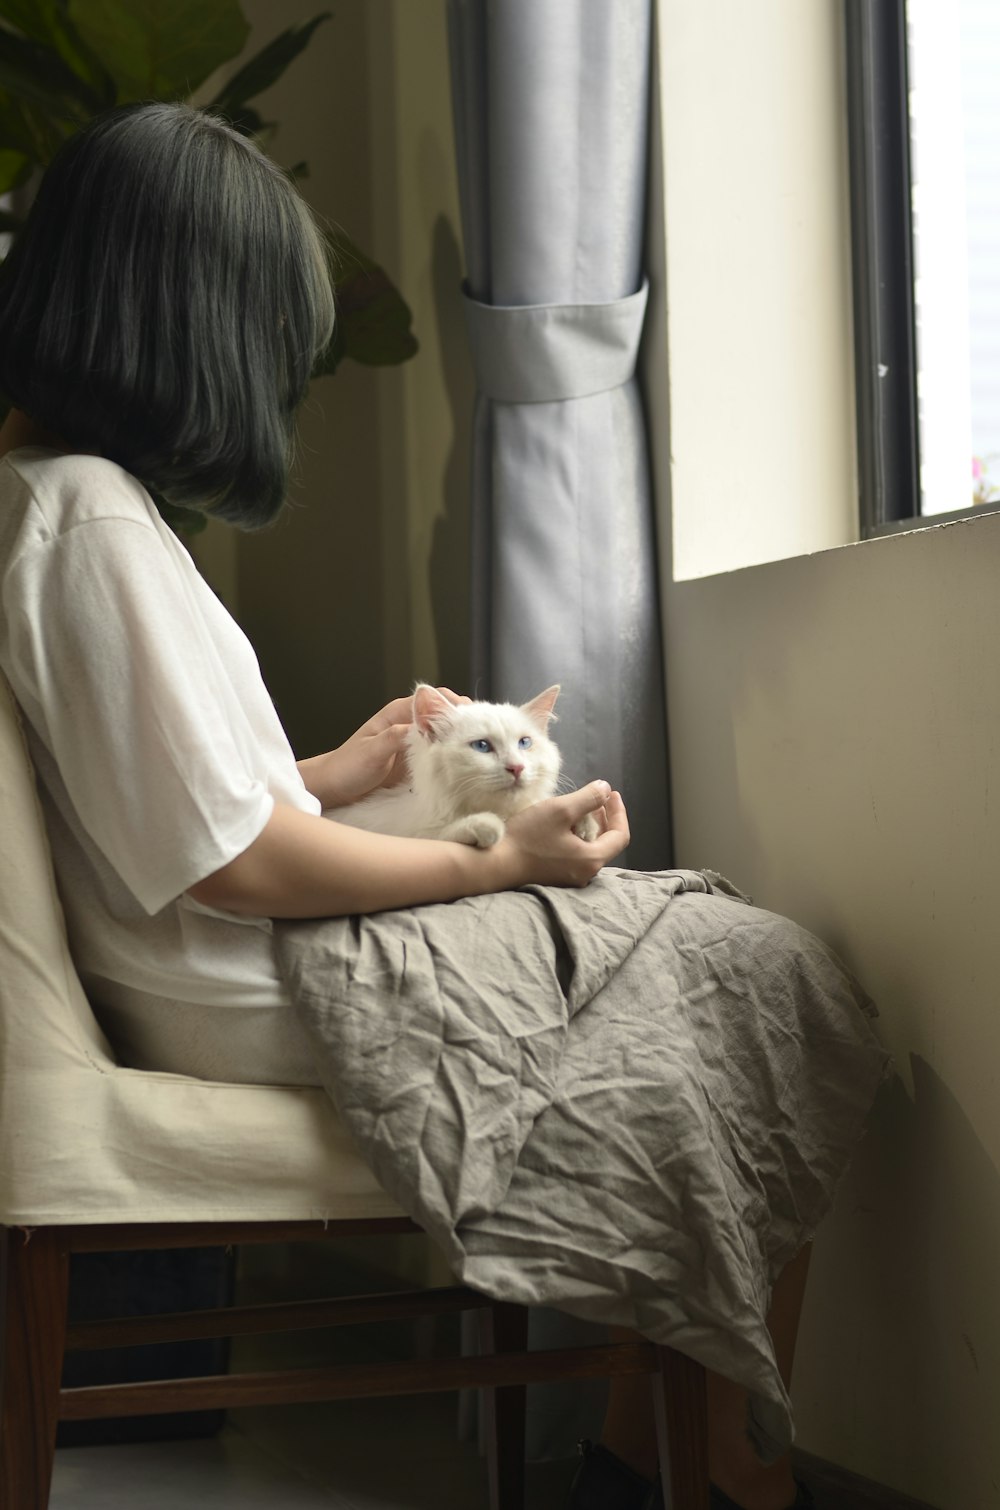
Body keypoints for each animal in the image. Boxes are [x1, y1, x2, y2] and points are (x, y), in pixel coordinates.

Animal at [324, 685, 598, 851]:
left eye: (524, 743)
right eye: (482, 746)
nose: (517, 768)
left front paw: (586, 824)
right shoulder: (410, 838)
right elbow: (442, 834)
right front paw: (486, 826)